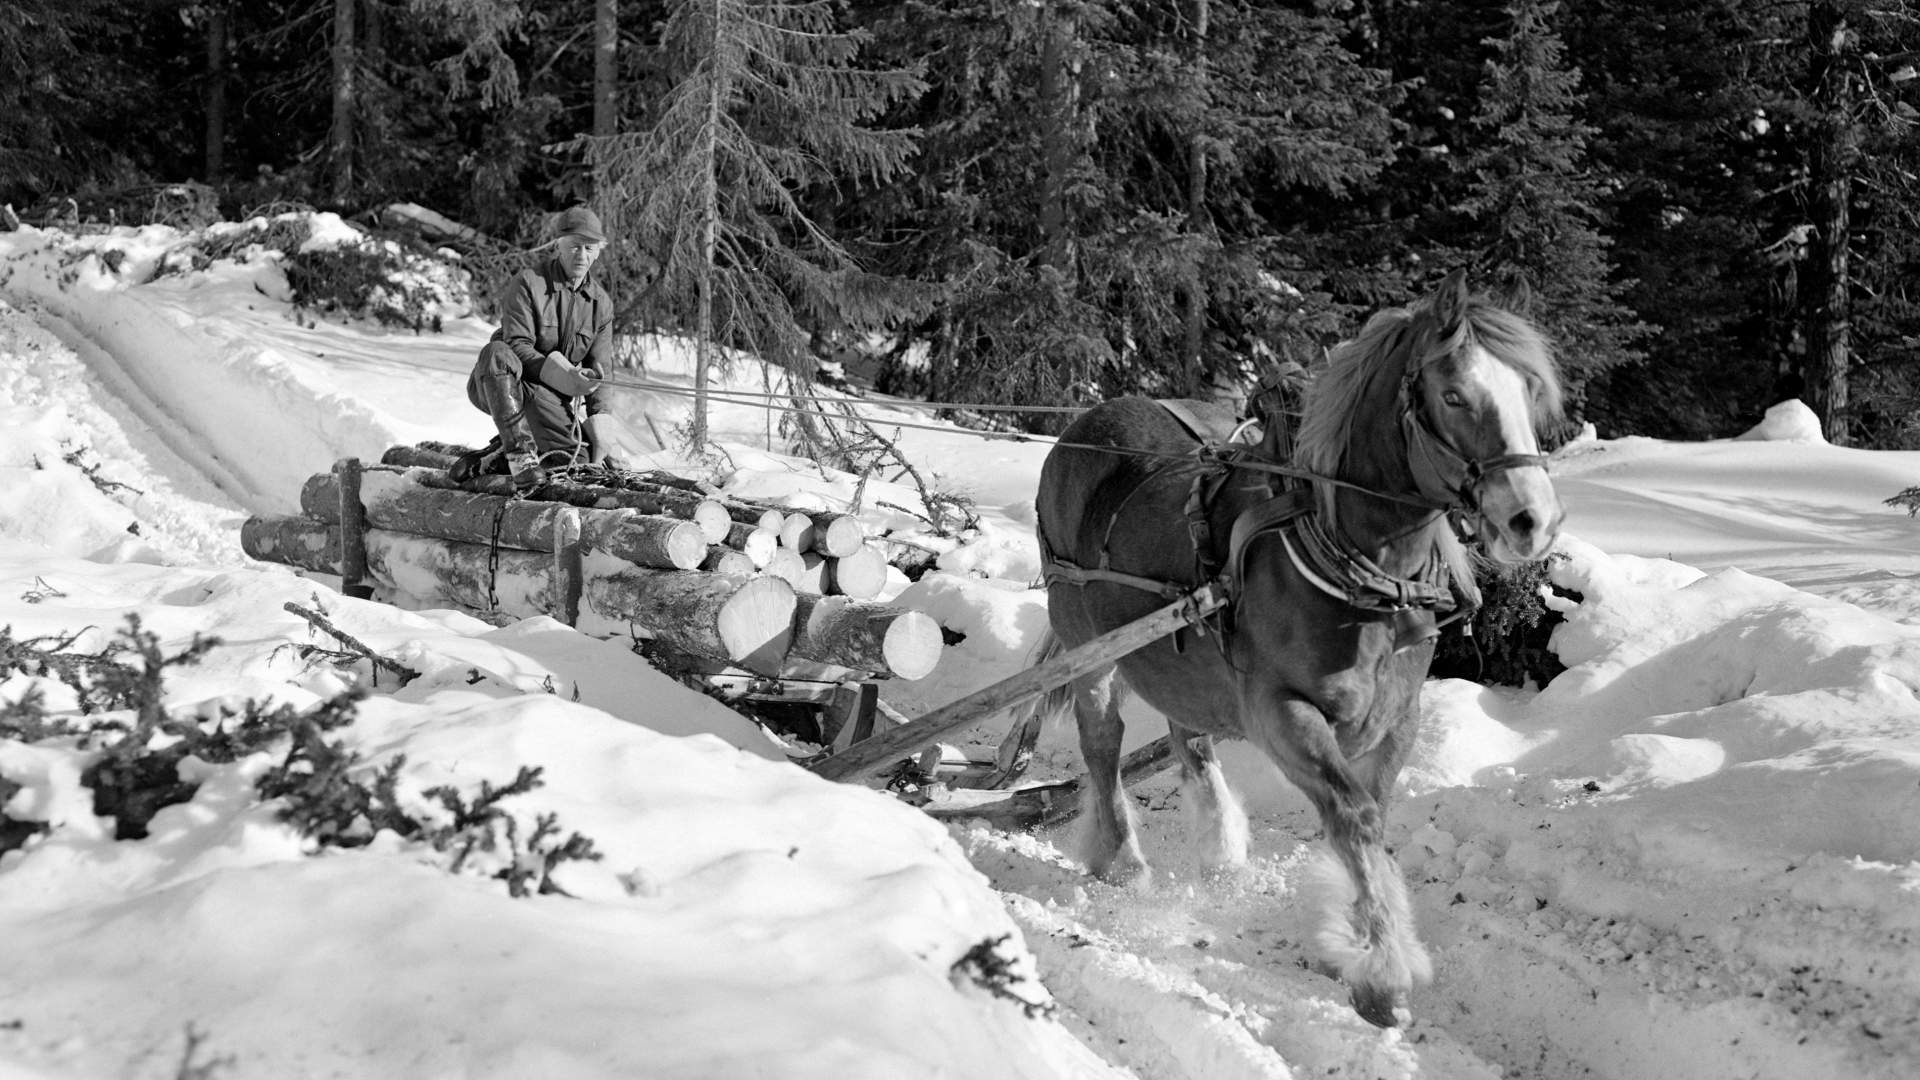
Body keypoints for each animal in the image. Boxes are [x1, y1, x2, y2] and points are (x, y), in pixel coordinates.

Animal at [1036, 270, 1559, 1022]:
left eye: (1528, 391)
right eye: (1454, 394)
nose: (1532, 519)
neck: (1359, 570)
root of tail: (1082, 425)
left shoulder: (1396, 719)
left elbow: (1372, 821)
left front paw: (1357, 932)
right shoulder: (1281, 713)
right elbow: (1354, 818)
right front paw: (1382, 972)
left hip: (1183, 661)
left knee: (1188, 736)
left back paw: (1222, 854)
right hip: (1093, 647)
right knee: (1103, 742)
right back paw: (1124, 861)